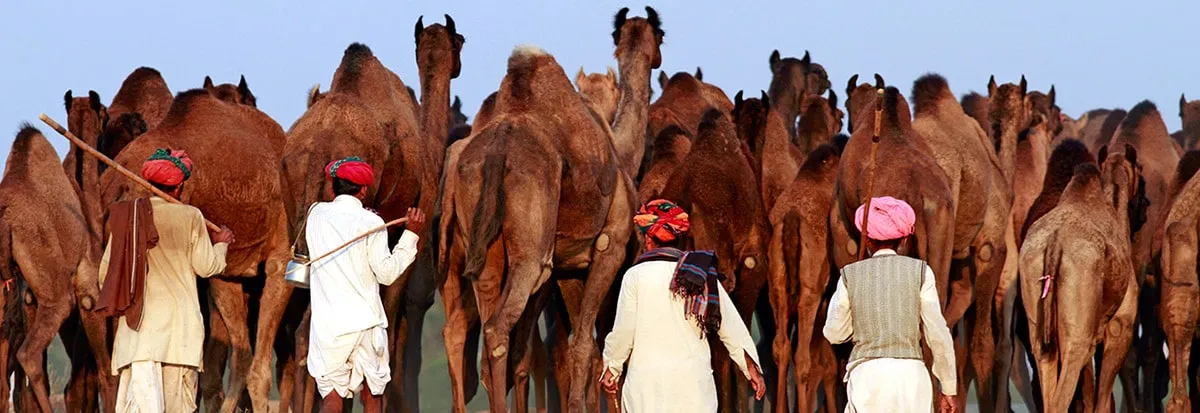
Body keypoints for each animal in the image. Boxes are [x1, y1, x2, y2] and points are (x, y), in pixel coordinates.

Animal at [448, 8, 661, 411]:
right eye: (661, 35)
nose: (657, 58)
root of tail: (498, 150)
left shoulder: (570, 266)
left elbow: (582, 346)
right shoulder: (609, 246)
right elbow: (588, 346)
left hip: (482, 248)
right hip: (533, 254)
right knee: (499, 329)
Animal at [766, 143, 841, 413]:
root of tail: (792, 217)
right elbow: (827, 363)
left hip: (777, 289)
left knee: (781, 347)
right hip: (810, 293)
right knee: (803, 357)